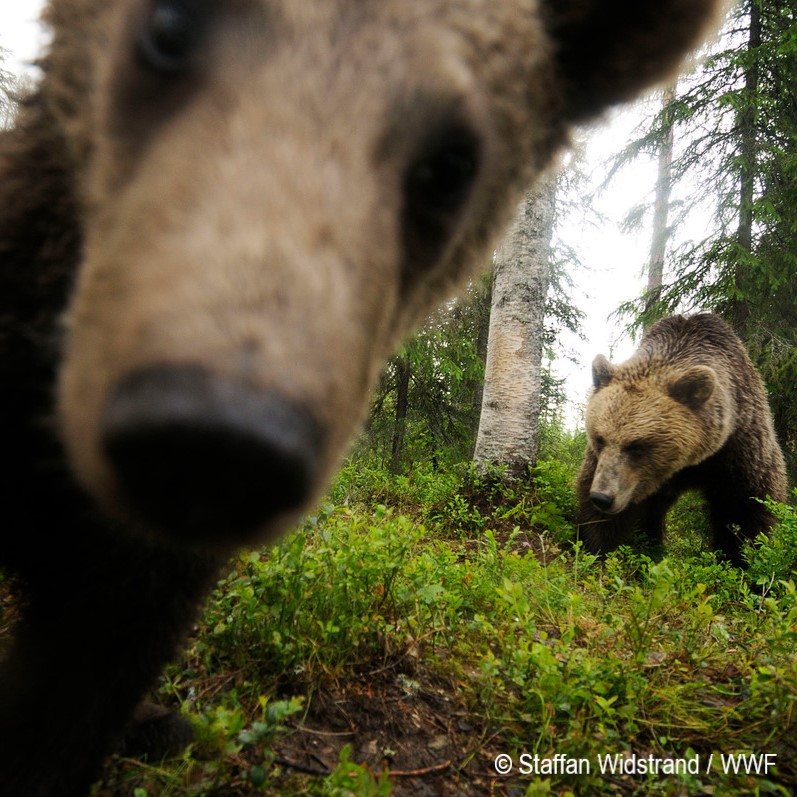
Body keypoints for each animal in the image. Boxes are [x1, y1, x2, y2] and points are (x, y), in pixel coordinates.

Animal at [576, 312, 788, 564]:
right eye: (599, 439)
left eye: (637, 446)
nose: (602, 497)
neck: (687, 464)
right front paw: (597, 549)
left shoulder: (738, 447)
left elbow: (747, 507)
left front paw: (741, 559)